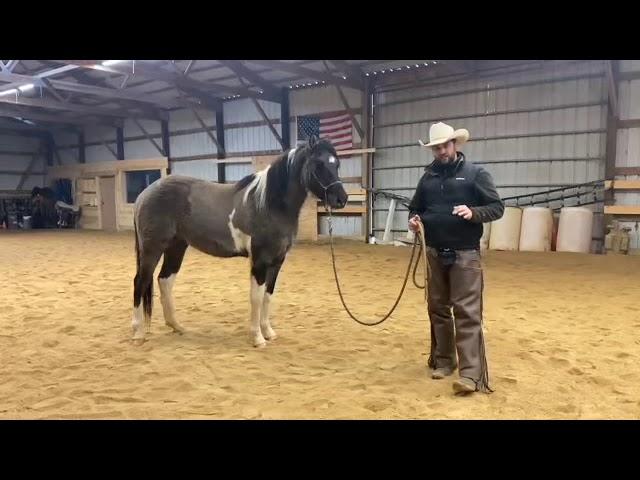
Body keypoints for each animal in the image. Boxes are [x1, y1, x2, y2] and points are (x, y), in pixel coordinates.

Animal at [132, 137, 348, 346]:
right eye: (318, 164)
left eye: (336, 164)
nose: (341, 199)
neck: (269, 204)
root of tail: (144, 194)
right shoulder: (260, 261)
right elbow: (256, 297)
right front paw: (257, 338)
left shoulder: (277, 262)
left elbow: (268, 295)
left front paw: (268, 333)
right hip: (152, 248)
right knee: (140, 281)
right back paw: (138, 333)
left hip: (176, 246)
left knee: (165, 280)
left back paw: (177, 326)